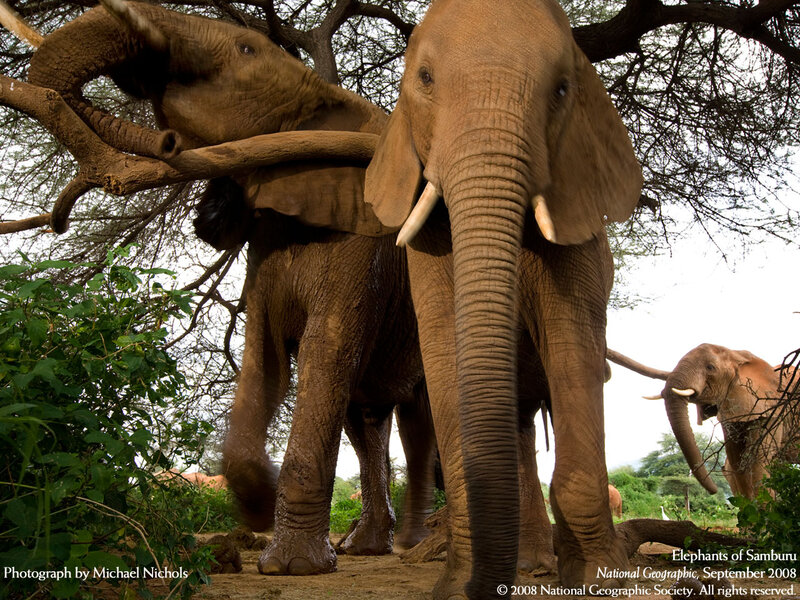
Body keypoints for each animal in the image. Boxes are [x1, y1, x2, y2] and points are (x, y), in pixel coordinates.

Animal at [27, 1, 436, 575]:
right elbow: (263, 358)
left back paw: (418, 546)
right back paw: (367, 546)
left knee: (423, 418)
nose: (168, 141)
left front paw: (292, 566)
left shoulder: (365, 242)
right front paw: (257, 507)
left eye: (245, 49)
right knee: (366, 420)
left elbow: (326, 353)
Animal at [360, 0, 642, 596]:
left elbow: (573, 345)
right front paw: (456, 585)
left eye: (562, 89)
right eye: (424, 79)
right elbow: (444, 351)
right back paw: (532, 564)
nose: (478, 589)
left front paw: (601, 577)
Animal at [645, 343, 799, 500]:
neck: (737, 355)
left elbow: (757, 460)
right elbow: (736, 460)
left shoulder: (773, 410)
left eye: (710, 367)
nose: (714, 491)